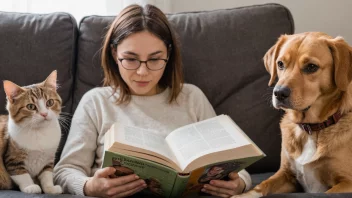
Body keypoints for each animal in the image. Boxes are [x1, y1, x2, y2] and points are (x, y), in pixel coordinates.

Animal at [232, 31, 352, 197]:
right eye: (280, 64)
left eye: (311, 67)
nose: (279, 93)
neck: (310, 129)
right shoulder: (286, 174)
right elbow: (262, 185)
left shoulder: (347, 183)